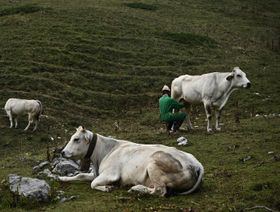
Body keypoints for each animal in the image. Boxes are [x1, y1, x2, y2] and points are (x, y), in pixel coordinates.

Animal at [59, 126, 203, 197]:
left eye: (76, 139)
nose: (62, 152)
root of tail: (196, 164)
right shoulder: (97, 173)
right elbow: (80, 175)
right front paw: (62, 178)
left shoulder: (111, 174)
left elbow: (93, 183)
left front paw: (107, 187)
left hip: (154, 164)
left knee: (159, 191)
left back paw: (136, 188)